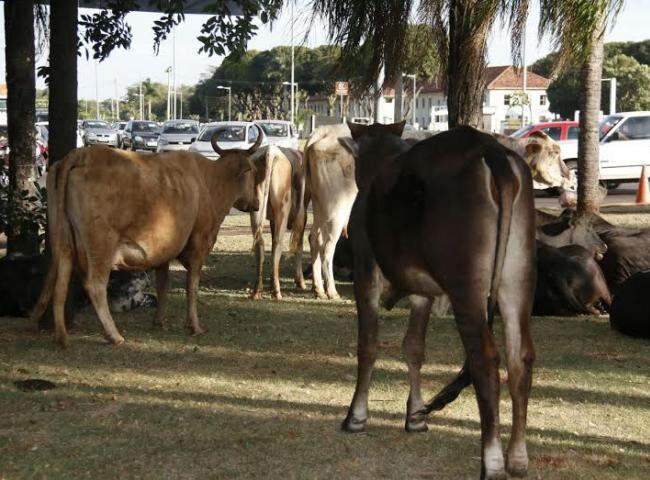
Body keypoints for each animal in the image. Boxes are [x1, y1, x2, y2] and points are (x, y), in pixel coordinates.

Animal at [31, 130, 264, 348]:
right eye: (253, 171)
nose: (256, 203)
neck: (209, 182)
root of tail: (81, 154)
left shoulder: (164, 250)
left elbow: (163, 284)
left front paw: (159, 321)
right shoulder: (199, 243)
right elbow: (192, 286)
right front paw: (195, 326)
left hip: (62, 242)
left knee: (58, 281)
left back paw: (59, 334)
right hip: (101, 245)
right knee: (94, 285)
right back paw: (114, 335)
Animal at [336, 122, 536, 480]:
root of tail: (491, 150)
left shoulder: (365, 269)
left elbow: (368, 344)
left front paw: (356, 416)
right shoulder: (422, 290)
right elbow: (414, 347)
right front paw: (416, 416)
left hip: (466, 288)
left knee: (485, 361)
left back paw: (492, 462)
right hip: (518, 277)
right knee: (520, 358)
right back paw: (517, 458)